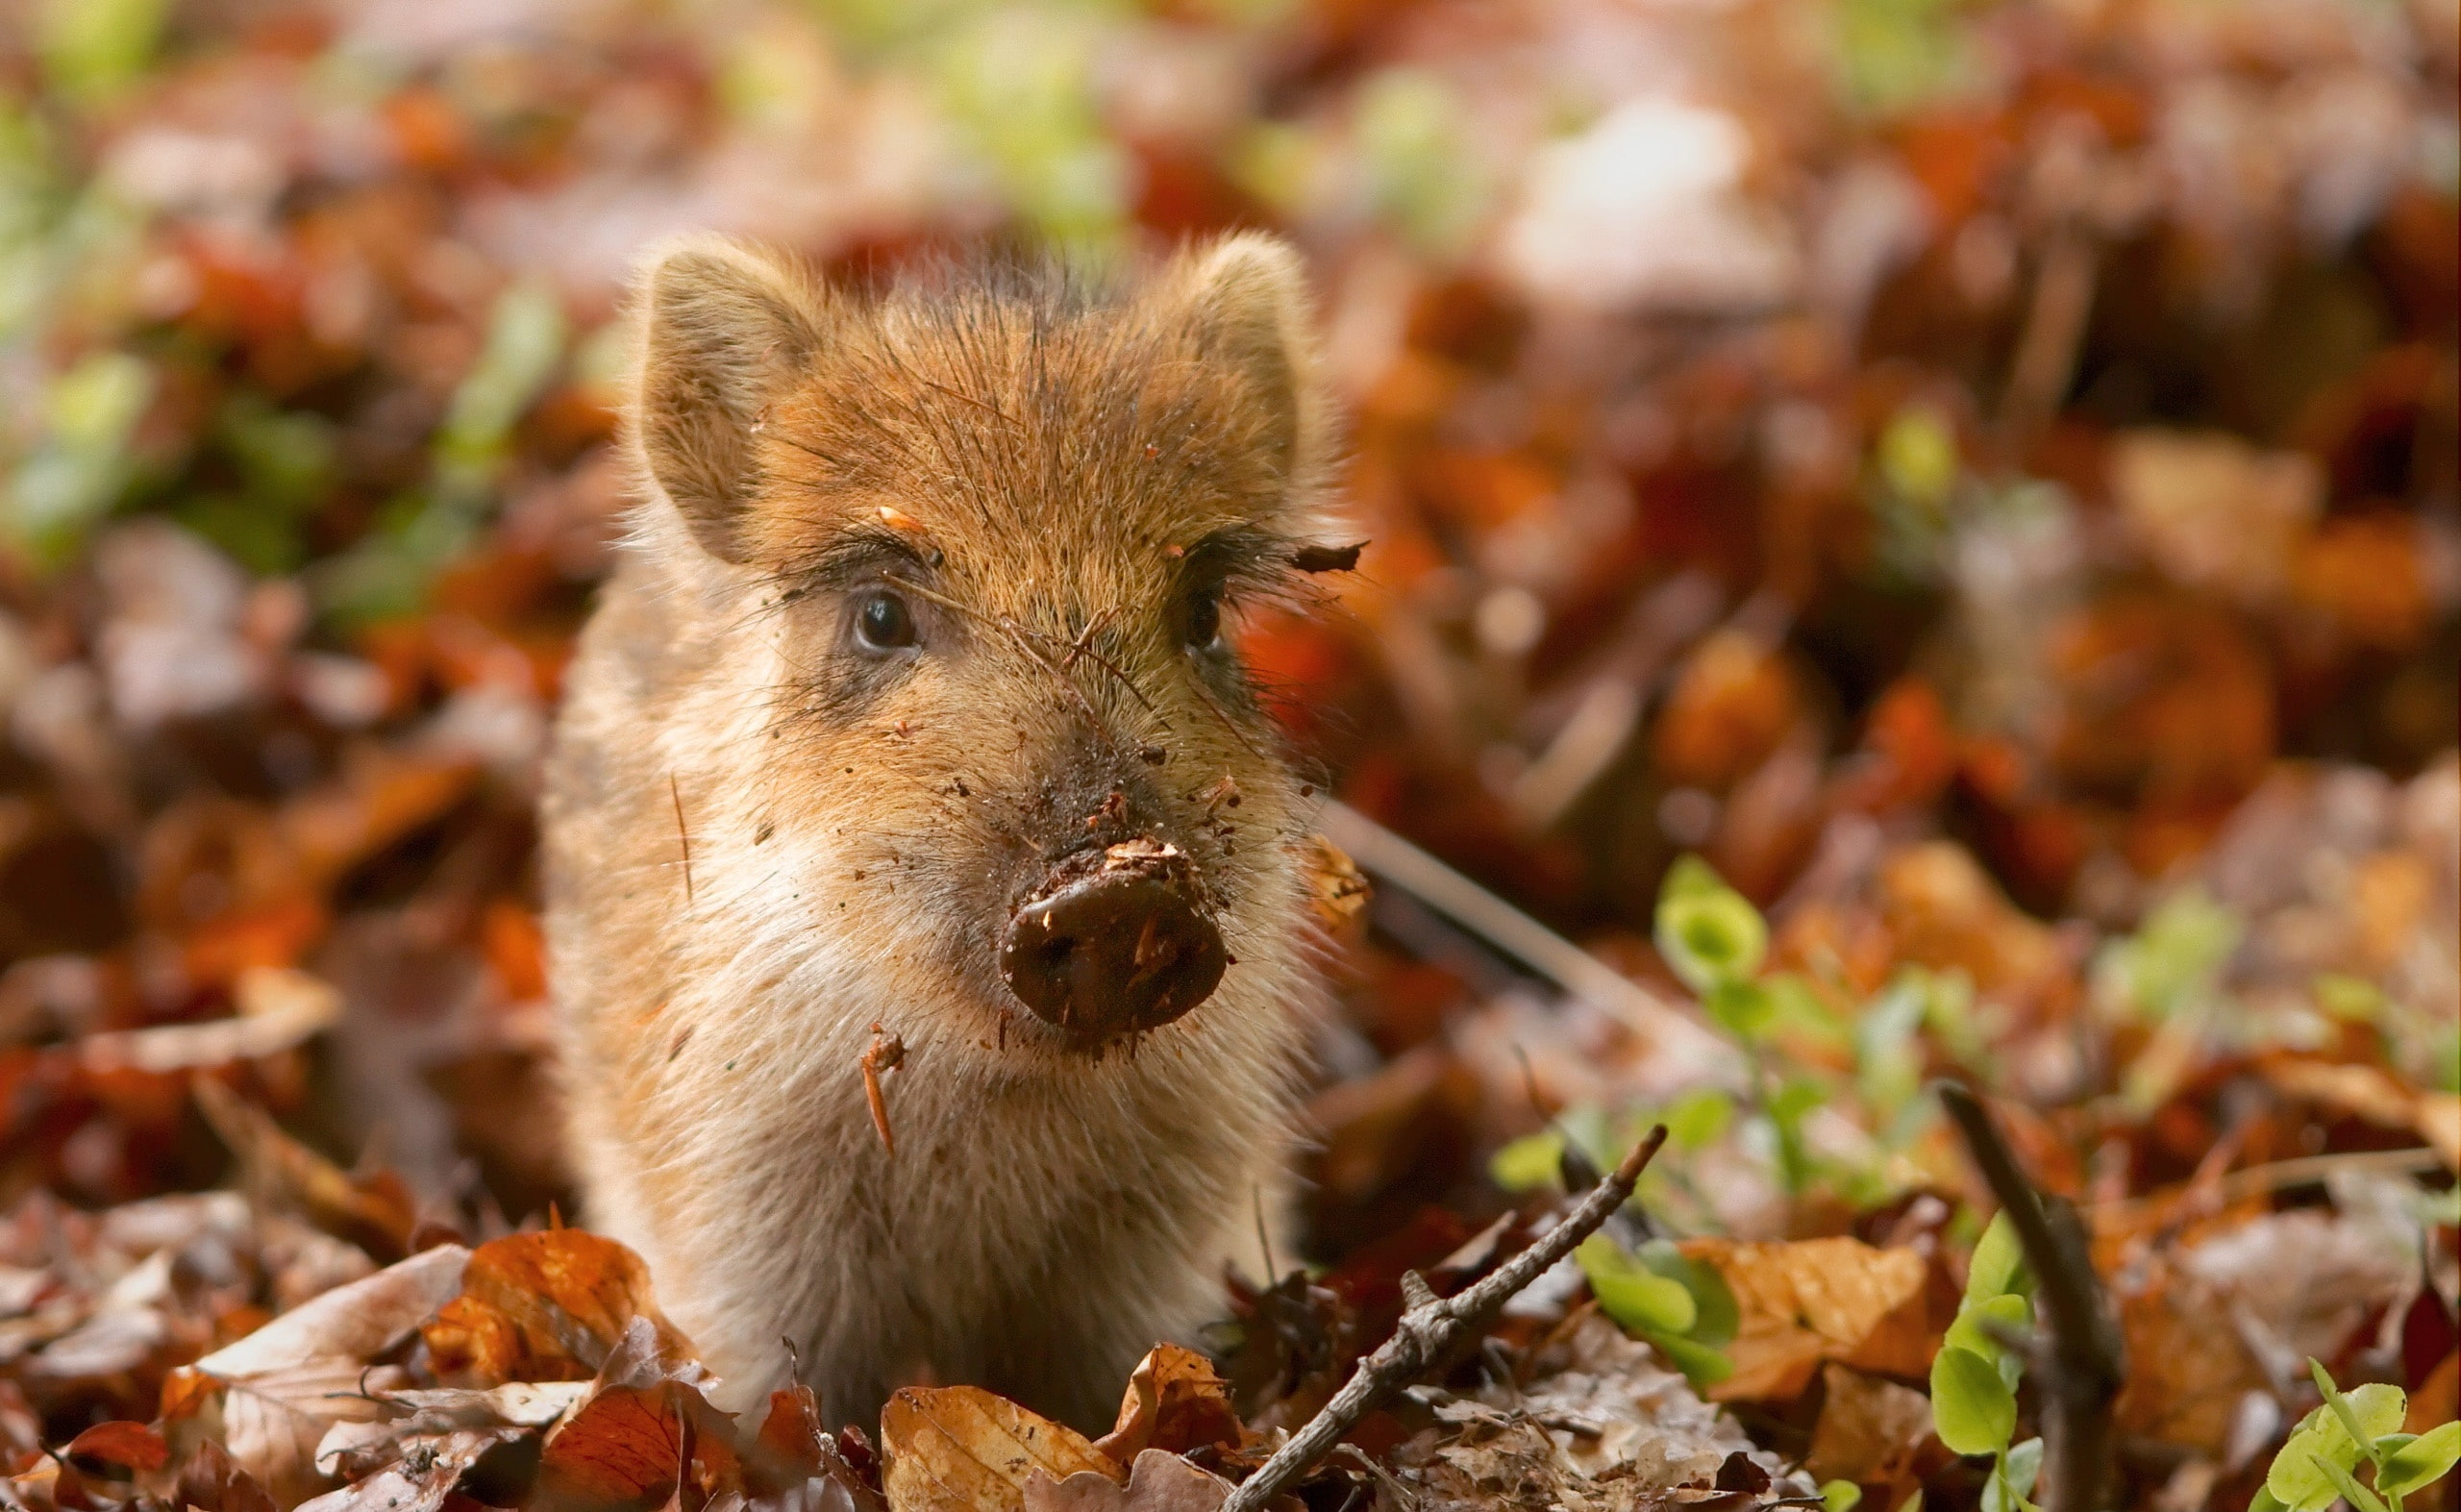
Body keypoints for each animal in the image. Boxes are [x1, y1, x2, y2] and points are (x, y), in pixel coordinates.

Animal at [541, 233, 1349, 1433]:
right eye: (880, 614)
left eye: (1200, 612)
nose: (1114, 889)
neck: (988, 1112)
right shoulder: (733, 1211)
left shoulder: (1170, 1218)